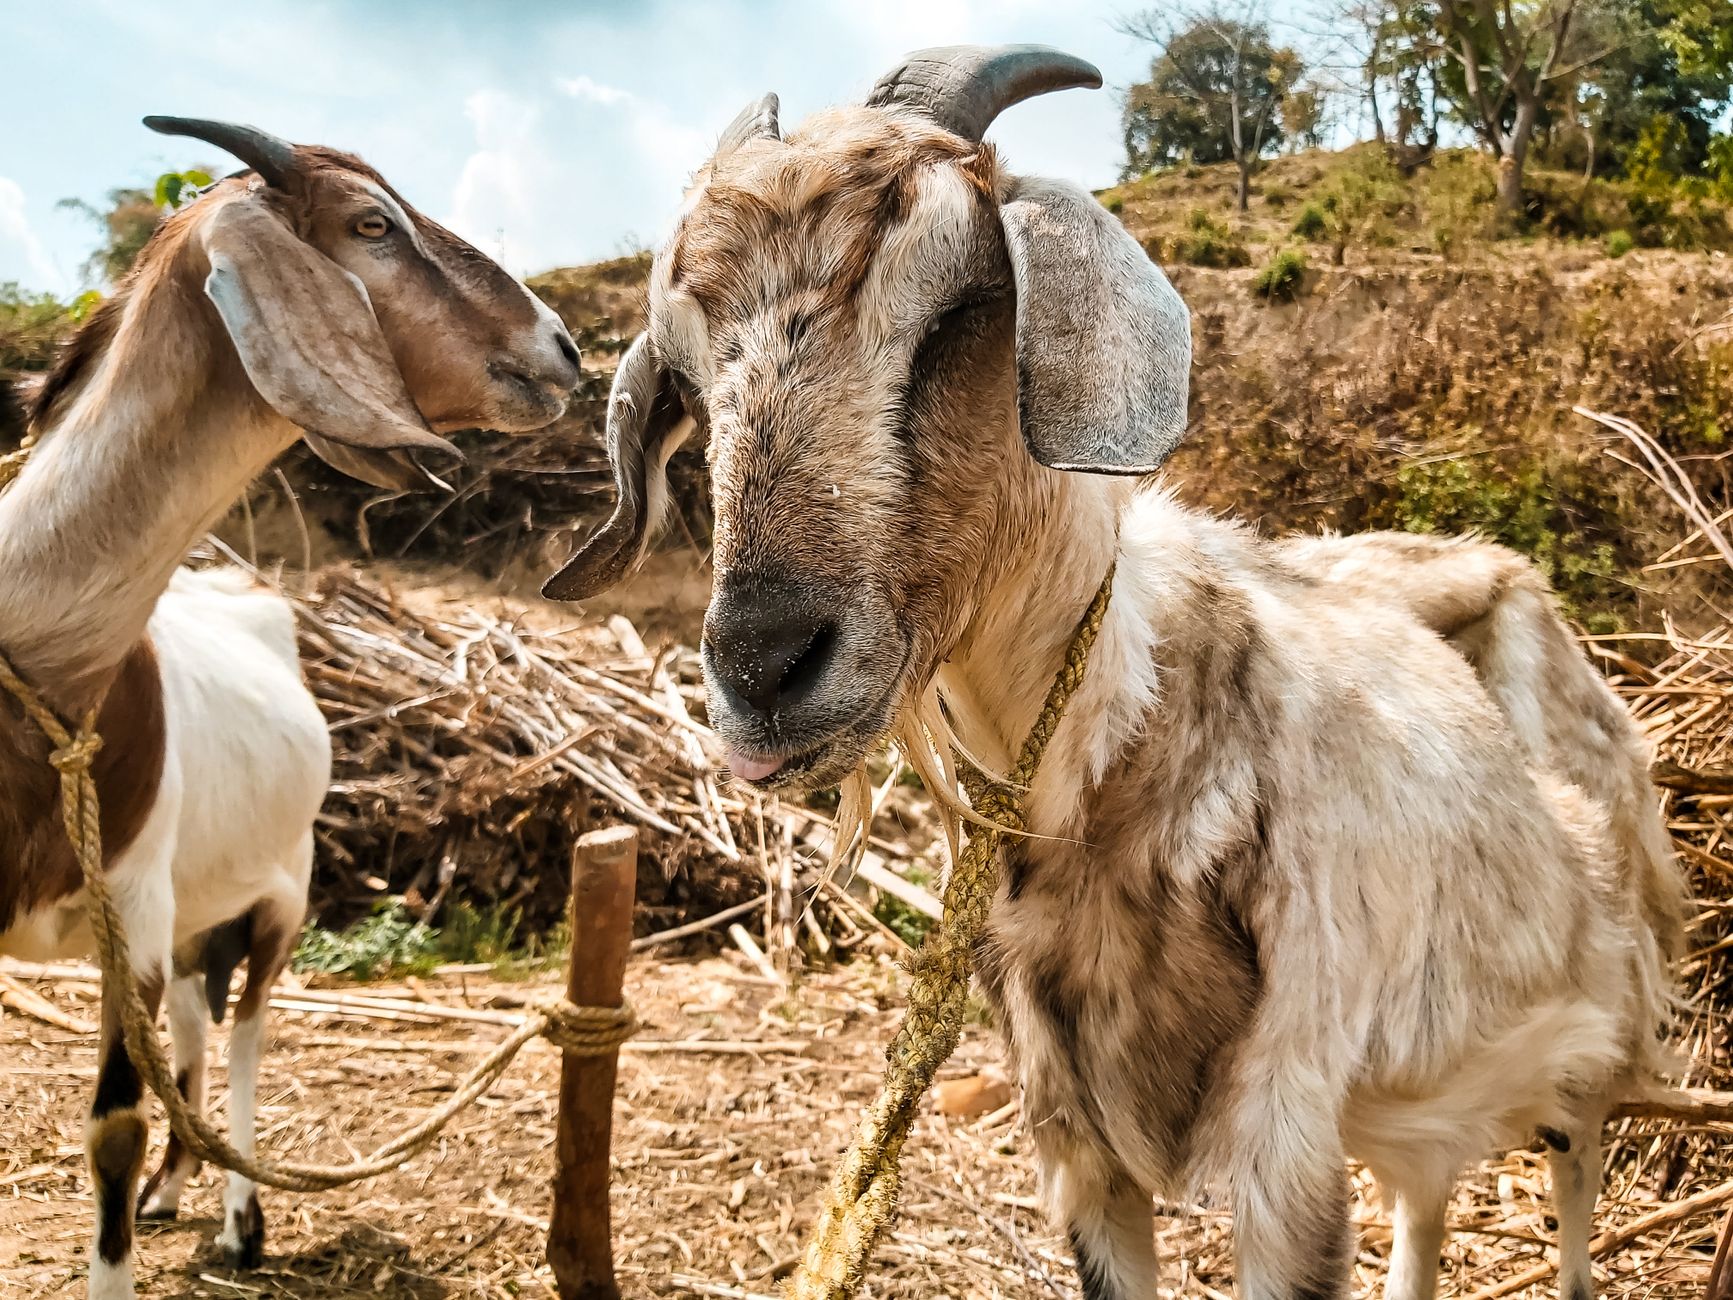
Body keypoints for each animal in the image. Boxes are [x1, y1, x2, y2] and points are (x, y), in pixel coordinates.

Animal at [0, 117, 581, 1300]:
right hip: (198, 910)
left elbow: (114, 1126)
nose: (562, 347)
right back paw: (180, 1191)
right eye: (373, 225)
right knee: (194, 1023)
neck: (45, 667)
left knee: (246, 1035)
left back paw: (237, 1216)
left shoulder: (130, 912)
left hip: (277, 898)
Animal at [544, 47, 1683, 1300]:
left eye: (960, 309)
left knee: (1573, 1179)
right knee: (1422, 1208)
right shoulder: (1073, 1132)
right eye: (688, 385)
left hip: (1597, 1025)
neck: (1112, 752)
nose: (762, 668)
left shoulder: (1285, 1129)